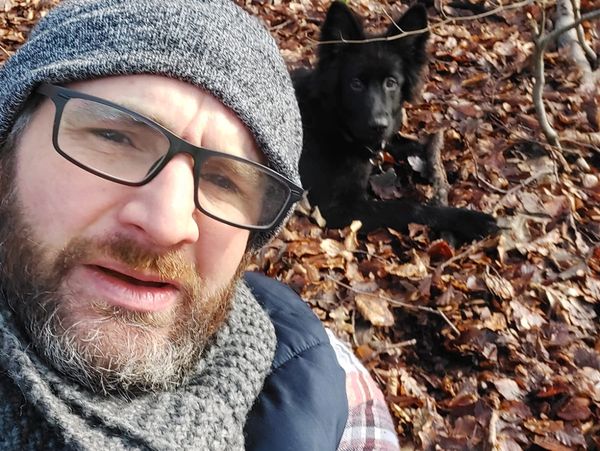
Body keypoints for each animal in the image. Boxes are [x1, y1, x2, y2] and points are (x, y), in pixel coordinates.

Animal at [294, 1, 496, 244]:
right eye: (355, 84)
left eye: (391, 83)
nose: (378, 125)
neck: (335, 123)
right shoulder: (334, 209)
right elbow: (408, 208)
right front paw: (468, 219)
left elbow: (404, 145)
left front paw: (446, 164)